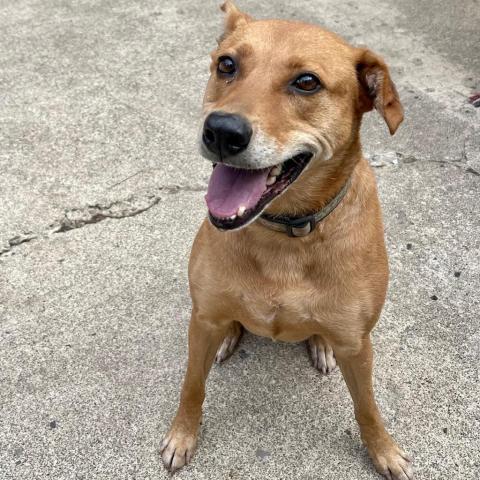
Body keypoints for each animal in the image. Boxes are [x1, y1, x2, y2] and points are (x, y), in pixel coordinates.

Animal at [161, 1, 412, 478]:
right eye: (227, 64)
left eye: (307, 82)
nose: (222, 131)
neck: (285, 234)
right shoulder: (202, 320)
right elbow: (191, 386)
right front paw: (182, 435)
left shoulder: (357, 343)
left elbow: (367, 407)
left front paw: (384, 451)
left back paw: (320, 345)